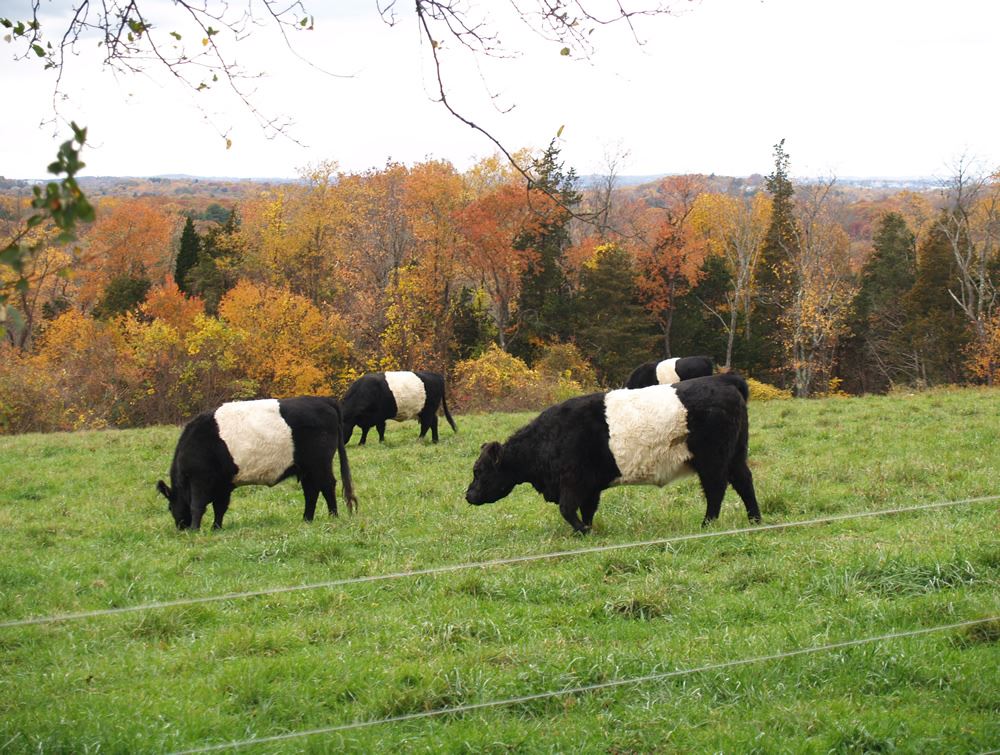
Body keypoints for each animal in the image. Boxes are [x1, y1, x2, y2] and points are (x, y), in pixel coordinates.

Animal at [156, 396, 357, 530]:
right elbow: (220, 507)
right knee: (311, 491)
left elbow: (197, 505)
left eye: (169, 507)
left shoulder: (200, 478)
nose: (180, 527)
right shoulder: (223, 484)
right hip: (306, 468)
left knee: (327, 486)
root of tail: (323, 400)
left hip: (319, 464)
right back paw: (307, 519)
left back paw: (333, 516)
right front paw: (216, 528)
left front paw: (195, 530)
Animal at [465, 373, 761, 534]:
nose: (468, 495)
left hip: (713, 459)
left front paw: (584, 532)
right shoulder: (590, 486)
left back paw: (707, 524)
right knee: (744, 481)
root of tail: (724, 379)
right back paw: (755, 520)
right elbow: (587, 510)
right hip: (736, 454)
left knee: (716, 489)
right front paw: (587, 529)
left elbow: (567, 509)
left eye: (479, 470)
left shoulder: (572, 480)